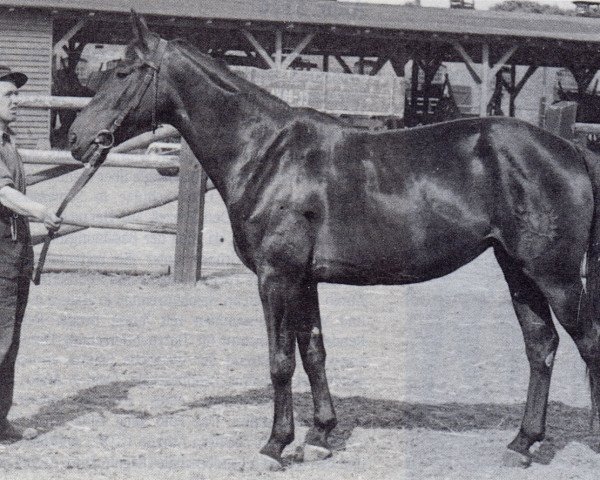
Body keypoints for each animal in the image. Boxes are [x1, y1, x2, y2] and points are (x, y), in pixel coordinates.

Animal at [68, 13, 600, 470]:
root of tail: (571, 148)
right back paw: (522, 443)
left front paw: (274, 445)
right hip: (518, 269)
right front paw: (321, 436)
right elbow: (314, 352)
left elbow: (281, 361)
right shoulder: (304, 279)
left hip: (555, 276)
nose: (76, 139)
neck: (266, 153)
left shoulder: (276, 277)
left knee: (587, 342)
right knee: (542, 345)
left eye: (123, 72)